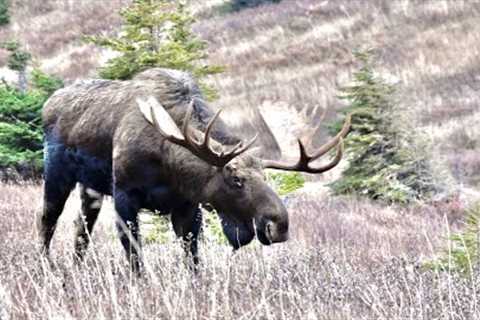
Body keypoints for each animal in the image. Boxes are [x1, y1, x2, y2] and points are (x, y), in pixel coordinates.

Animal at [39, 69, 350, 272]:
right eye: (236, 179)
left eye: (266, 176)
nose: (279, 225)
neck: (168, 163)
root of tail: (49, 102)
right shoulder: (125, 195)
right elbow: (135, 257)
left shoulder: (188, 206)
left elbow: (193, 260)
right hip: (56, 173)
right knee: (47, 221)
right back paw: (45, 265)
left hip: (90, 187)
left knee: (81, 227)